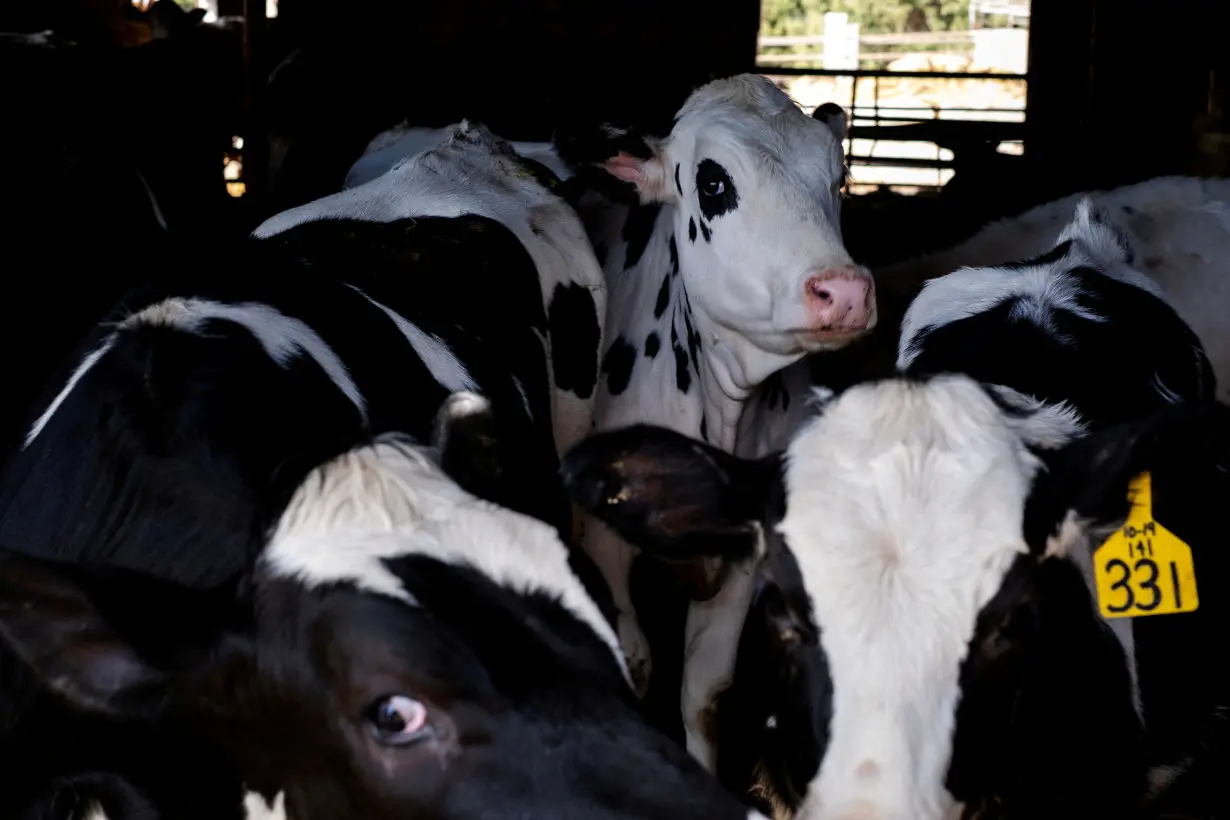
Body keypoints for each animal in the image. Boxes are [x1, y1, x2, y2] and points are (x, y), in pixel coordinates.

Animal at [553, 72, 880, 772]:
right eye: (712, 183)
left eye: (838, 176)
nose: (843, 291)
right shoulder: (602, 544)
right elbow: (637, 662)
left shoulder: (746, 555)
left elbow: (707, 692)